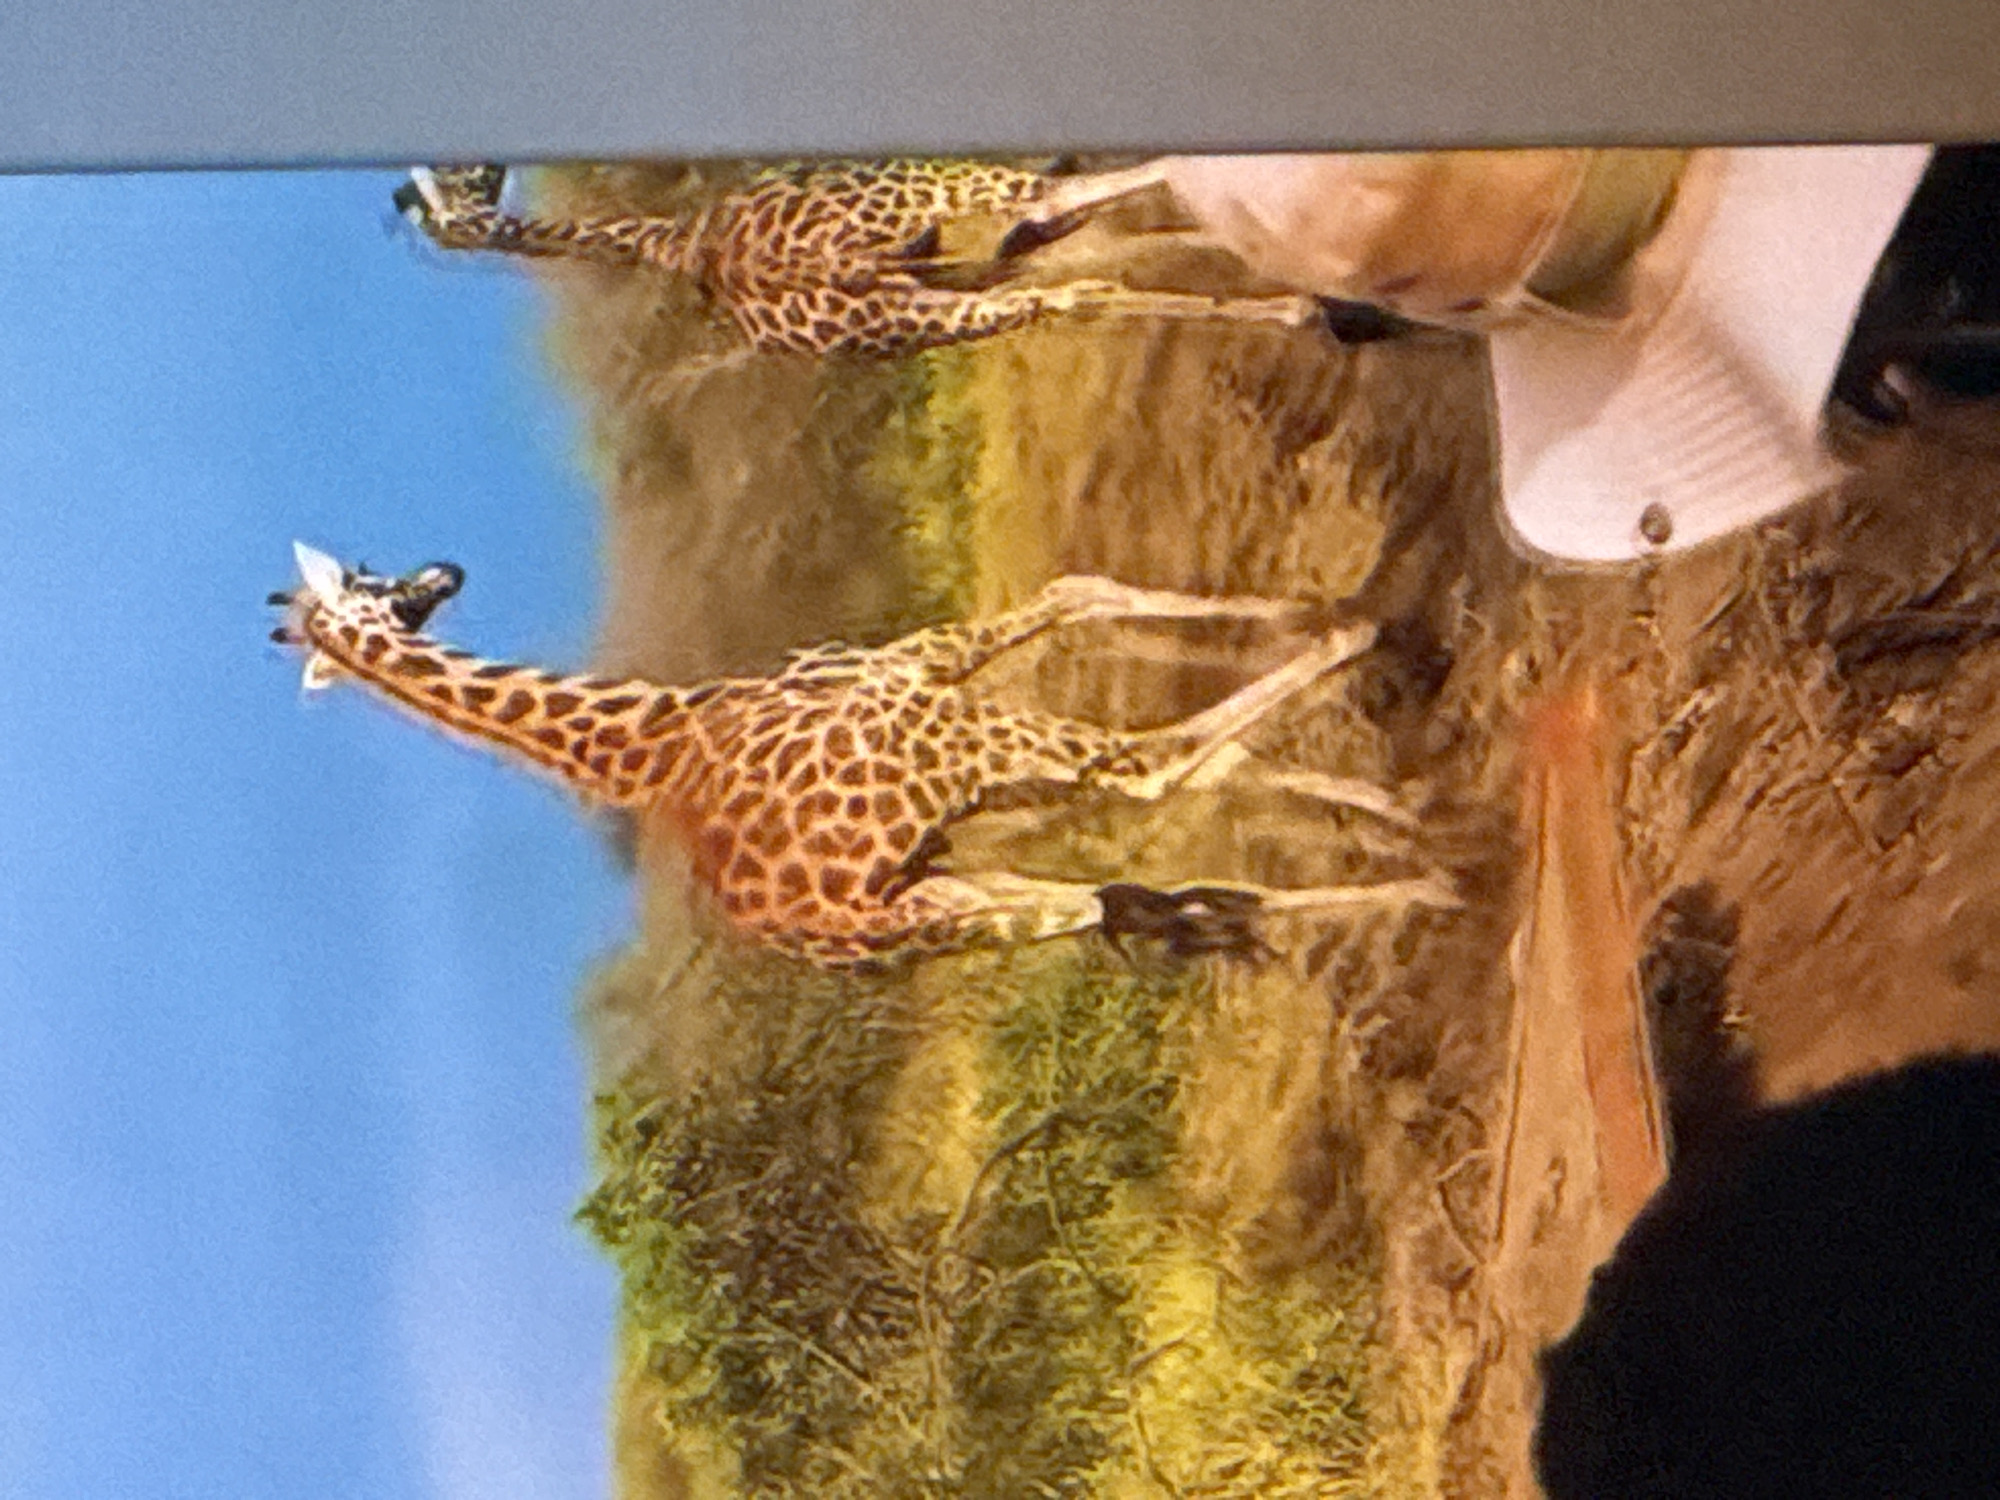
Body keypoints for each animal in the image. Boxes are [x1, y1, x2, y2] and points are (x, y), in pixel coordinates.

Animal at [270, 544, 1451, 967]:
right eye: (376, 583)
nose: (442, 572)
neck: (656, 740)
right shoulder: (938, 712)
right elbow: (1152, 730)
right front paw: (1347, 622)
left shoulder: (953, 776)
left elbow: (1080, 592)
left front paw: (1391, 804)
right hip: (959, 822)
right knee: (1148, 782)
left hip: (952, 906)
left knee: (1131, 890)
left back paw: (1421, 866)